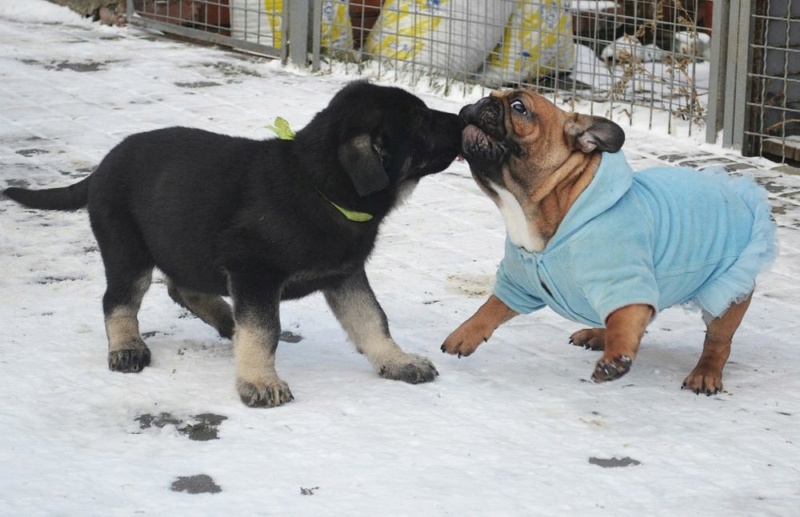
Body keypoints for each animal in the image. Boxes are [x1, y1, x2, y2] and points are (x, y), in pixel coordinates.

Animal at [4, 82, 462, 408]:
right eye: (422, 121)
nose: (463, 116)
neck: (318, 184)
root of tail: (100, 169)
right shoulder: (254, 270)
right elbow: (263, 329)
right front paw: (259, 382)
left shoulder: (345, 273)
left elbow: (372, 320)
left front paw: (397, 361)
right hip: (126, 248)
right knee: (118, 300)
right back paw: (128, 347)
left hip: (184, 243)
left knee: (181, 288)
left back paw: (226, 319)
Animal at [444, 89, 776, 396]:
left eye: (518, 107)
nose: (482, 100)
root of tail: (740, 198)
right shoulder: (519, 280)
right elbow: (492, 306)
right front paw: (464, 334)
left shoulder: (622, 278)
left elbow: (625, 323)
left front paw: (615, 360)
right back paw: (598, 334)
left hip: (727, 294)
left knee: (716, 341)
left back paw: (705, 373)